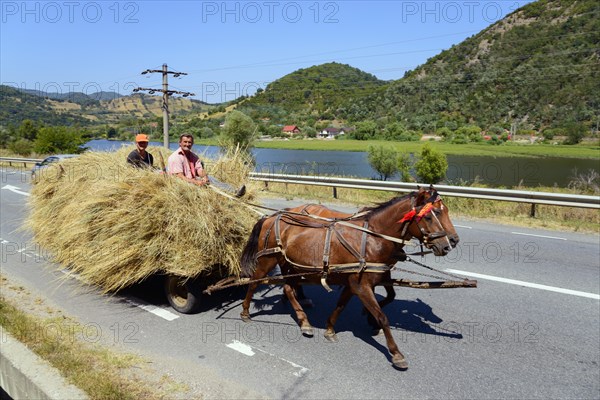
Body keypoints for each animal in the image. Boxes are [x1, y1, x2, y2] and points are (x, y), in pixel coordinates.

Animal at [239, 188, 460, 368]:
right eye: (430, 216)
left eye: (445, 211)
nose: (449, 244)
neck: (372, 238)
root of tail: (272, 216)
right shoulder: (361, 285)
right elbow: (383, 316)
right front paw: (396, 353)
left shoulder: (356, 282)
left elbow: (343, 305)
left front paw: (331, 328)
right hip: (267, 260)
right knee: (254, 283)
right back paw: (246, 312)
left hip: (291, 265)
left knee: (288, 288)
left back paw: (303, 319)